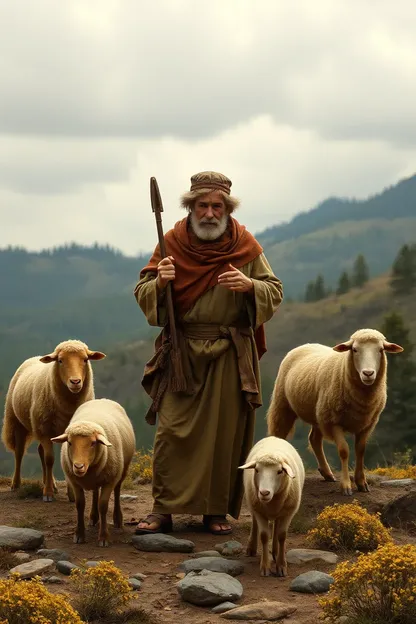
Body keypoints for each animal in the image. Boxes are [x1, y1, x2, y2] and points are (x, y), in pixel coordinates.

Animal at [2, 336, 105, 502]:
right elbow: (50, 459)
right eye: (60, 360)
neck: (68, 407)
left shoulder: (66, 432)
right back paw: (16, 484)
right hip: (18, 421)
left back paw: (50, 482)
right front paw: (48, 493)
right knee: (19, 453)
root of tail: (34, 357)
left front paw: (70, 493)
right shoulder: (44, 430)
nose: (75, 382)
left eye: (85, 359)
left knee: (40, 450)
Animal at [50, 400, 135, 544]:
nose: (78, 466)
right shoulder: (74, 482)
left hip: (122, 470)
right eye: (70, 442)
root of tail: (102, 399)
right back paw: (93, 517)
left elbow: (103, 506)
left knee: (117, 491)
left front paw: (104, 537)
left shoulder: (109, 480)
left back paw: (118, 519)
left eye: (93, 443)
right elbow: (80, 505)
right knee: (95, 492)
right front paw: (79, 534)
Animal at [237, 436, 306, 576]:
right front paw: (265, 567)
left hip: (281, 512)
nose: (264, 493)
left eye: (280, 471)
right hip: (253, 504)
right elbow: (264, 536)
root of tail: (273, 437)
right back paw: (252, 548)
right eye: (257, 470)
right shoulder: (259, 512)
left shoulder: (288, 513)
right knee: (255, 523)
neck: (272, 503)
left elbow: (282, 536)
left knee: (277, 526)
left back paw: (275, 551)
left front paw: (281, 566)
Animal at [266, 330, 404, 494]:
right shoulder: (334, 422)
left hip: (319, 414)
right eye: (354, 350)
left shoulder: (367, 424)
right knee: (278, 435)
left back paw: (327, 473)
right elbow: (344, 451)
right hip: (284, 405)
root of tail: (306, 344)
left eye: (381, 350)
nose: (368, 373)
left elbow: (360, 450)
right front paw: (346, 486)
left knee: (314, 439)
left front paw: (361, 483)